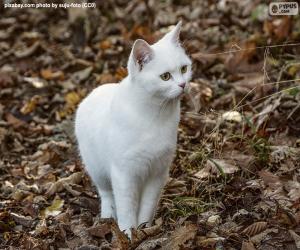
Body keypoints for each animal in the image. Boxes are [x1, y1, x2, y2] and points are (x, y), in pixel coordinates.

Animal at [75, 21, 192, 236]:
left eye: (184, 68)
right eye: (165, 76)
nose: (183, 84)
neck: (155, 116)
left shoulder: (157, 171)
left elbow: (147, 205)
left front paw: (144, 229)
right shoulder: (124, 173)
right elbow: (126, 208)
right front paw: (127, 234)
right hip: (97, 168)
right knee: (107, 194)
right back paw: (107, 216)